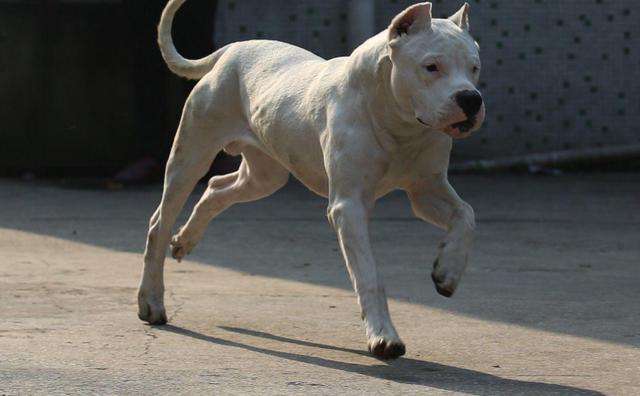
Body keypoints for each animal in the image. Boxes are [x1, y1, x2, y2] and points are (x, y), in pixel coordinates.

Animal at [138, 0, 482, 358]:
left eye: (474, 68)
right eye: (431, 67)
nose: (471, 99)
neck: (398, 122)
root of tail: (230, 50)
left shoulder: (425, 189)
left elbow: (466, 215)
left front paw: (447, 270)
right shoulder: (349, 206)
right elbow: (369, 275)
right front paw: (383, 336)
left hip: (264, 176)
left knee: (217, 188)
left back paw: (185, 240)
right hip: (191, 156)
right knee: (159, 223)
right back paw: (151, 300)